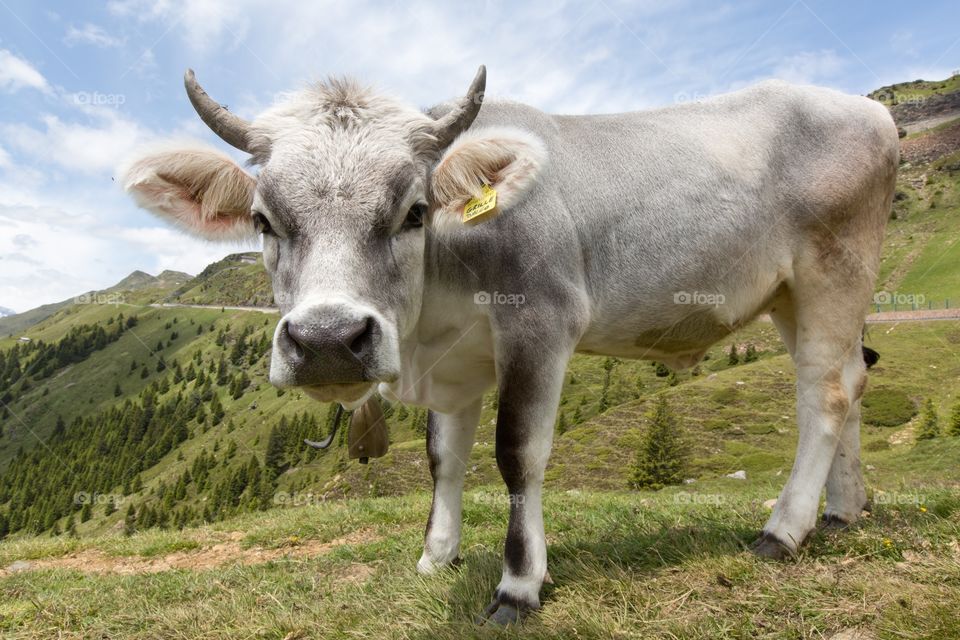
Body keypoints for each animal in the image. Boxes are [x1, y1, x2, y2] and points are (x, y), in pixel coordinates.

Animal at [122, 67, 900, 624]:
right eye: (263, 218)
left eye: (414, 211)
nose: (328, 341)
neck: (432, 308)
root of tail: (871, 112)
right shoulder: (454, 361)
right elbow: (444, 458)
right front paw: (436, 556)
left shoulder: (540, 322)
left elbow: (516, 452)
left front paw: (519, 584)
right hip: (790, 296)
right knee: (853, 380)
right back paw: (843, 509)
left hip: (834, 271)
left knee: (825, 393)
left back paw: (783, 530)